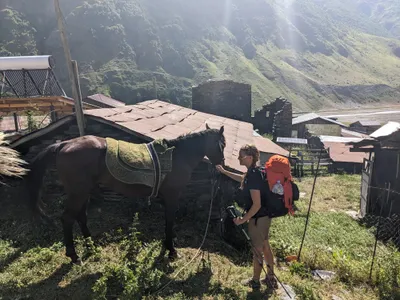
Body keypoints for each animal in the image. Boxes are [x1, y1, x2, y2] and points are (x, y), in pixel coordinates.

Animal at [25, 125, 225, 264]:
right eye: (222, 144)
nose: (221, 163)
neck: (177, 157)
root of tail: (64, 144)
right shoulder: (172, 196)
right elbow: (170, 222)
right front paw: (171, 250)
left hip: (83, 192)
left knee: (81, 216)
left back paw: (91, 247)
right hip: (78, 193)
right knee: (67, 219)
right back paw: (74, 256)